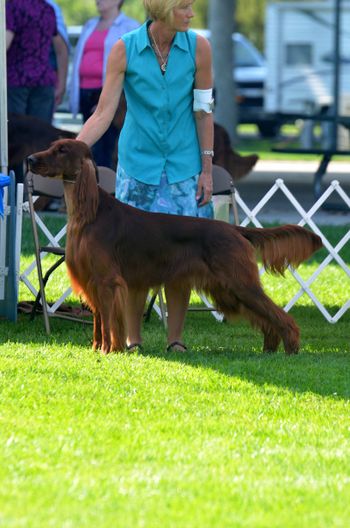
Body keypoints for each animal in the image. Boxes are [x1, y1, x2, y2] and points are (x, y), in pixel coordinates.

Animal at [27, 139, 322, 354]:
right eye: (53, 145)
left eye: (62, 150)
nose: (29, 160)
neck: (90, 213)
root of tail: (233, 228)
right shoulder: (92, 281)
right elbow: (100, 321)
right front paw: (98, 349)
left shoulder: (107, 281)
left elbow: (110, 322)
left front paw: (110, 350)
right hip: (228, 290)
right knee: (266, 317)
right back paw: (270, 348)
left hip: (239, 283)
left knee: (279, 315)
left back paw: (291, 347)